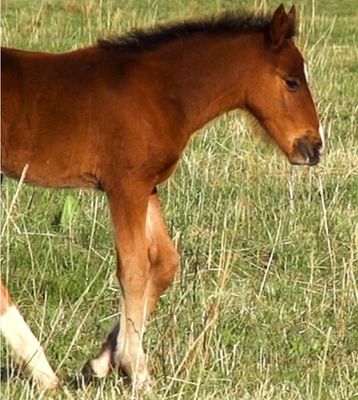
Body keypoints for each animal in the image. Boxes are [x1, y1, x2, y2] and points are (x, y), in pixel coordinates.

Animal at [0, 4, 324, 392]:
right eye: (292, 81)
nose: (314, 147)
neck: (162, 93)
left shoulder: (147, 186)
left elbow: (165, 262)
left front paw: (101, 363)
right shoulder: (125, 186)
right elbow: (134, 269)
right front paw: (136, 371)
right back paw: (42, 370)